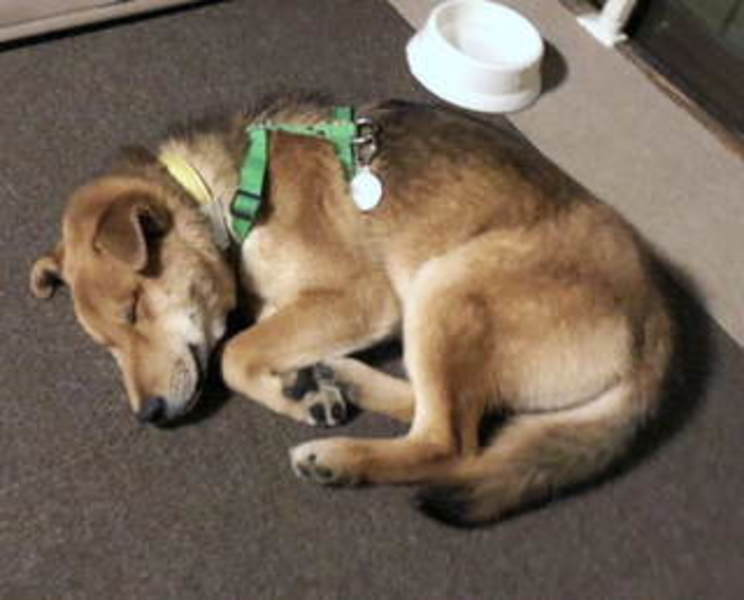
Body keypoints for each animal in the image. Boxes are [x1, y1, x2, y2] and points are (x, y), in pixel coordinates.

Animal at [30, 95, 673, 525]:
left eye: (133, 309)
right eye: (108, 345)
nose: (150, 415)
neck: (225, 195)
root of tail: (660, 330)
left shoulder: (359, 298)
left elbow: (236, 353)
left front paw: (292, 395)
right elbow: (254, 340)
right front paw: (303, 385)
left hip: (448, 285)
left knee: (449, 441)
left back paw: (337, 456)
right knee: (449, 413)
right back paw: (340, 378)